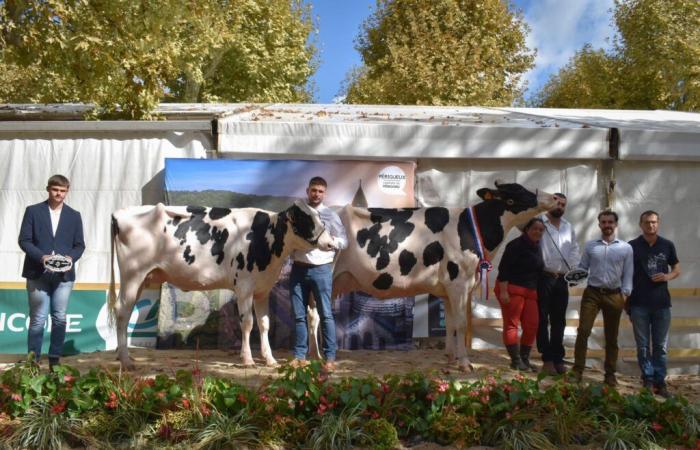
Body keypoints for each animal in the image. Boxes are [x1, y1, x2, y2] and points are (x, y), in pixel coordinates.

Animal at [108, 200, 334, 370]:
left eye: (319, 216)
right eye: (306, 219)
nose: (332, 243)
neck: (265, 236)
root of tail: (121, 212)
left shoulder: (263, 290)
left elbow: (264, 324)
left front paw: (270, 359)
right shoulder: (244, 288)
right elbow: (247, 323)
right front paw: (248, 359)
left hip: (140, 279)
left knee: (126, 311)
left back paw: (124, 357)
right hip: (132, 275)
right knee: (122, 311)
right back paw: (126, 361)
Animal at [326, 181, 556, 370]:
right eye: (518, 191)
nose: (555, 197)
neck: (469, 227)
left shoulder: (448, 288)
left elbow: (451, 324)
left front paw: (451, 358)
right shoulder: (459, 283)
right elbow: (461, 323)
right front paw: (465, 363)